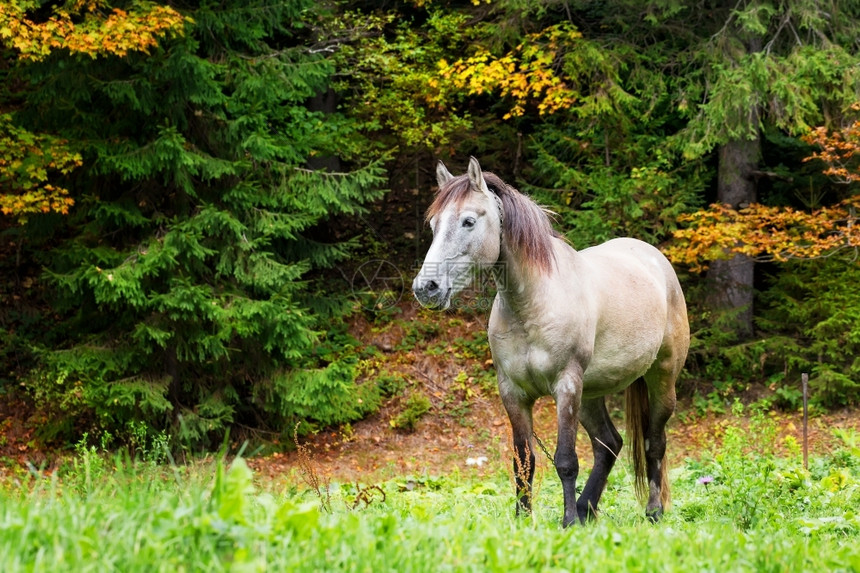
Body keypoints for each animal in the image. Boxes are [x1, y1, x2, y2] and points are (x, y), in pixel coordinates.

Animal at [414, 156, 688, 528]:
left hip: (661, 379)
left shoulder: (566, 386)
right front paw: (523, 518)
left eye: (468, 221)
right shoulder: (513, 393)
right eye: (433, 225)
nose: (426, 288)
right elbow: (523, 460)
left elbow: (566, 460)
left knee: (654, 443)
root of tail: (655, 260)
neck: (533, 305)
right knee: (609, 444)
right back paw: (588, 509)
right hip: (591, 393)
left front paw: (567, 521)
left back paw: (652, 512)